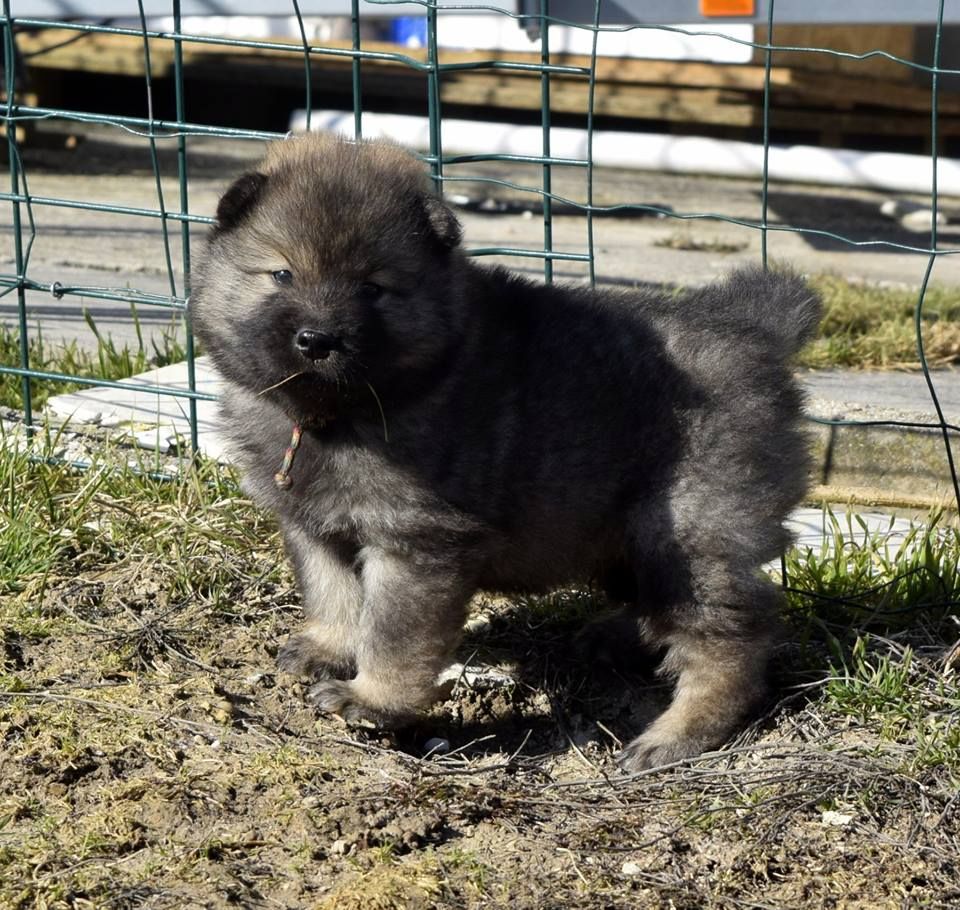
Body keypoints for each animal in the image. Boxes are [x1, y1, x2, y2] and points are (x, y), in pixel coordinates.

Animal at [191, 135, 820, 772]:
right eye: (281, 274)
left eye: (372, 288)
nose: (318, 339)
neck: (338, 414)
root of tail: (754, 331)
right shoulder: (315, 527)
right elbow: (335, 594)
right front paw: (329, 647)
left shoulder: (417, 544)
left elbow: (393, 634)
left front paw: (372, 700)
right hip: (618, 528)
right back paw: (611, 641)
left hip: (687, 535)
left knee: (729, 640)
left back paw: (677, 733)